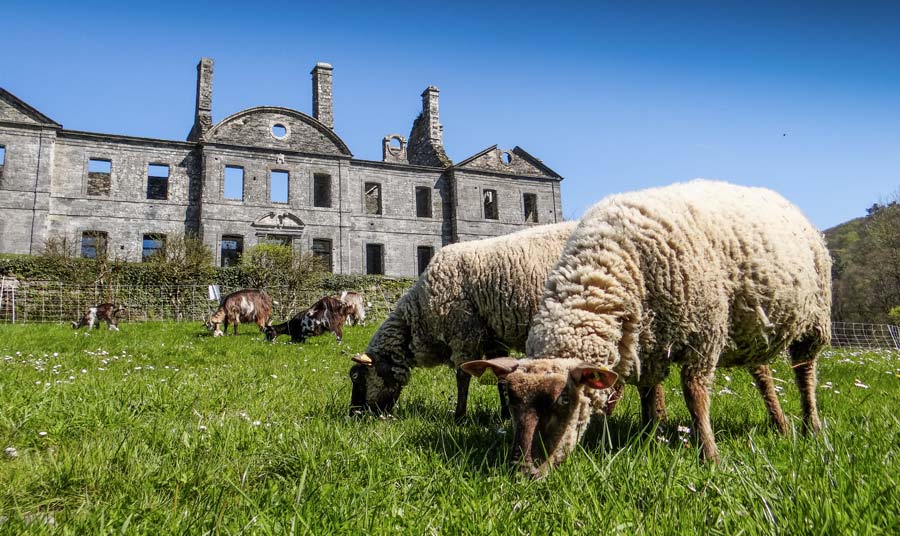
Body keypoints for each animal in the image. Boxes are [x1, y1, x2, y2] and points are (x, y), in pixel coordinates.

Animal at [348, 221, 580, 418]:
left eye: (357, 377)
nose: (354, 415)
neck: (419, 318)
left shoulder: (463, 334)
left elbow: (462, 377)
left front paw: (459, 417)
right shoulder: (494, 338)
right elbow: (500, 377)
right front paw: (505, 415)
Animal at [460, 182, 832, 476]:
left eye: (565, 399)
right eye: (510, 401)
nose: (525, 470)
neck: (604, 271)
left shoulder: (704, 333)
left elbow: (695, 395)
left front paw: (709, 457)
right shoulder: (648, 345)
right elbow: (649, 395)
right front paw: (651, 436)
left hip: (813, 321)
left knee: (805, 373)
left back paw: (810, 427)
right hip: (750, 326)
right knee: (763, 373)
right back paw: (780, 425)